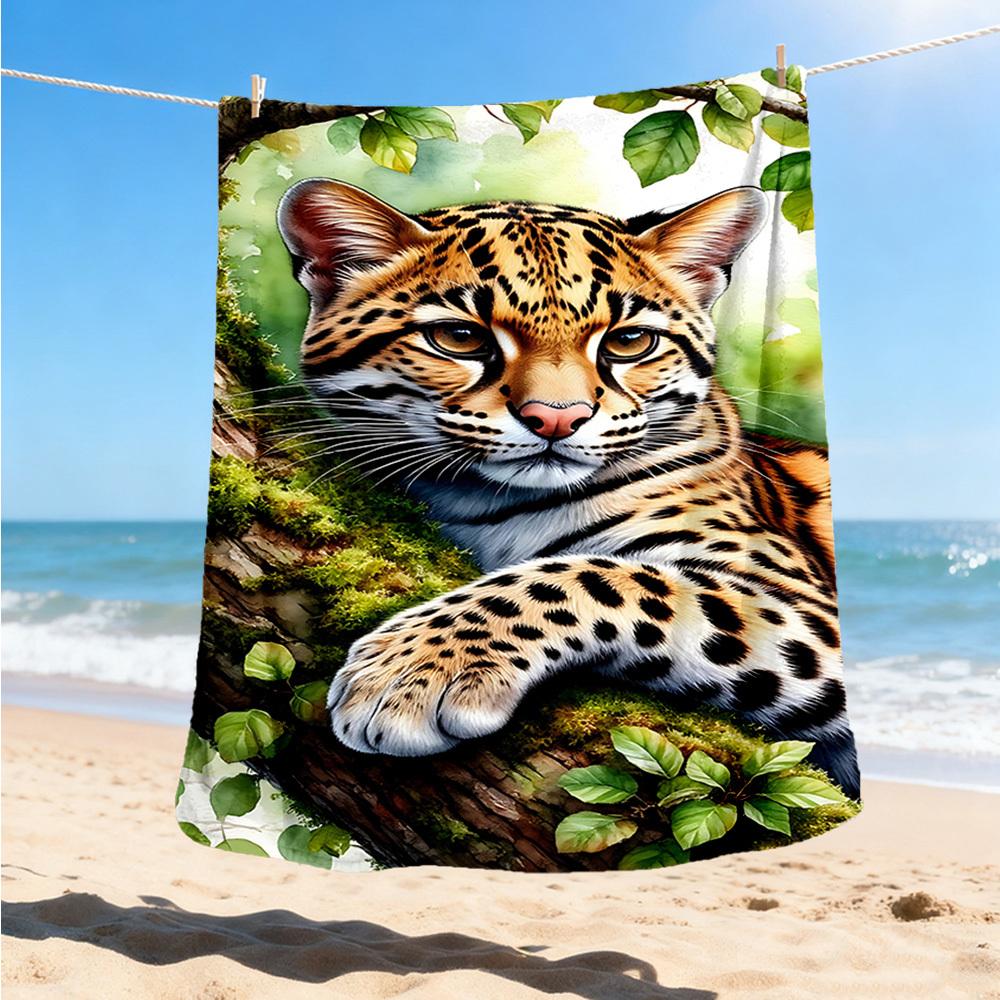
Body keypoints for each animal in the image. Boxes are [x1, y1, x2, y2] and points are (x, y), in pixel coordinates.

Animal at [276, 177, 861, 797]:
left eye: (630, 342)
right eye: (458, 337)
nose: (557, 418)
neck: (484, 501)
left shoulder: (803, 605)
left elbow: (596, 575)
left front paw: (412, 670)